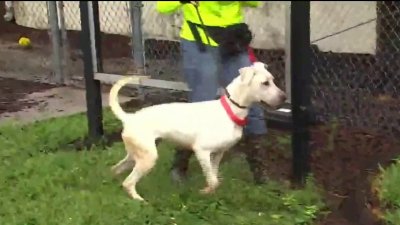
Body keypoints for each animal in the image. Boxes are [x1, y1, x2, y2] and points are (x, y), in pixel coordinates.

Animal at [108, 61, 284, 200]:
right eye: (265, 83)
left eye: (273, 80)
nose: (284, 97)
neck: (229, 110)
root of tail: (129, 117)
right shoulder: (202, 151)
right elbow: (213, 181)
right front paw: (204, 192)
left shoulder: (217, 154)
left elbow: (214, 177)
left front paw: (209, 191)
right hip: (148, 158)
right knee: (128, 182)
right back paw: (139, 200)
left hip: (136, 155)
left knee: (116, 170)